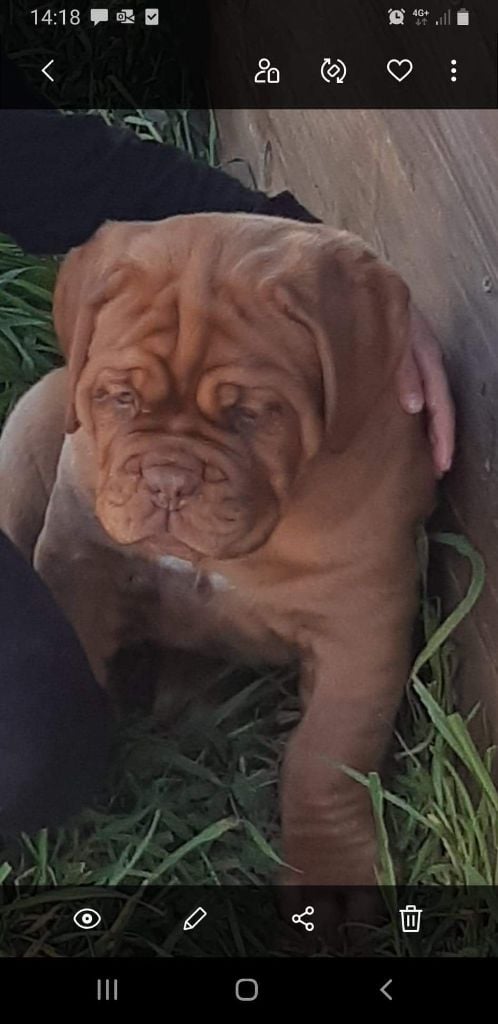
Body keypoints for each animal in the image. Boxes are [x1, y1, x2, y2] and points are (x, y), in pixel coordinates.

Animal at [0, 216, 436, 929]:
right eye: (121, 398)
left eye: (250, 414)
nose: (168, 481)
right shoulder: (81, 569)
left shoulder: (360, 627)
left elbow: (325, 754)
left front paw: (328, 875)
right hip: (35, 417)